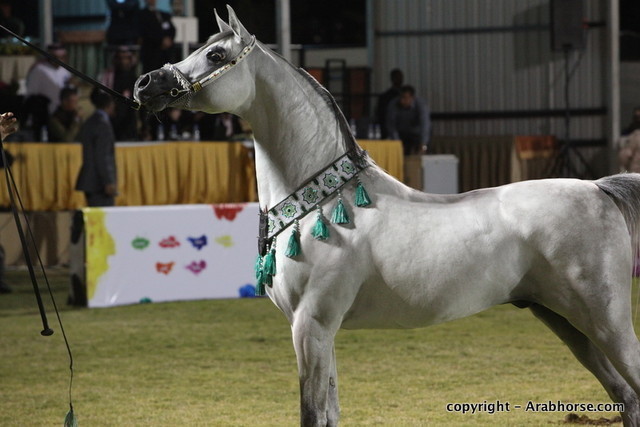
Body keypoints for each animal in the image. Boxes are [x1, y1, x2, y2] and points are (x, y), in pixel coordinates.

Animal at [134, 6, 640, 426]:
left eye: (215, 53)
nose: (145, 85)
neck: (325, 204)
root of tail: (598, 188)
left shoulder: (310, 327)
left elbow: (312, 415)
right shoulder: (322, 333)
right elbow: (330, 414)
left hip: (606, 320)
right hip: (566, 322)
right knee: (626, 398)